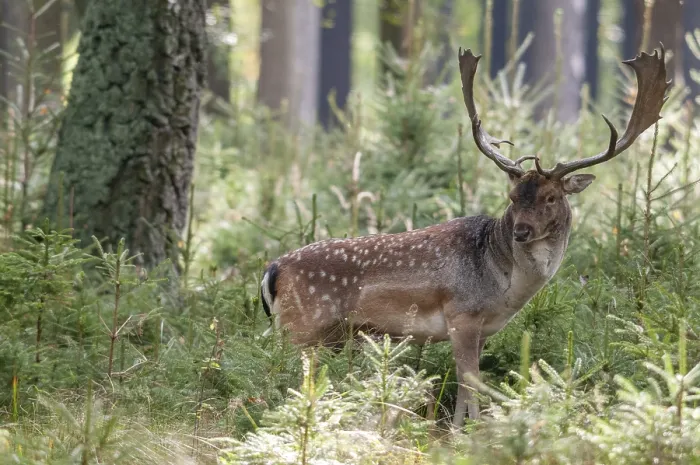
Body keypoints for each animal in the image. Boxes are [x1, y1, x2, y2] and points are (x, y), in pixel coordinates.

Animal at [259, 44, 670, 428]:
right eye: (512, 197)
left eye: (551, 197)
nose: (521, 231)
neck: (504, 286)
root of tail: (272, 270)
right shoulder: (461, 314)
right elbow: (470, 381)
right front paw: (467, 432)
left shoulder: (485, 328)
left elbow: (468, 382)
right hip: (301, 326)